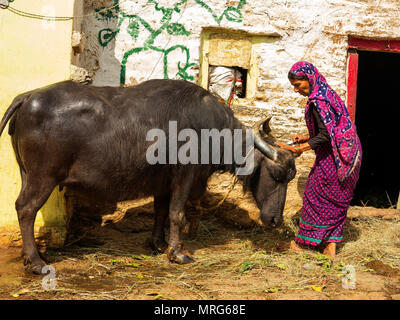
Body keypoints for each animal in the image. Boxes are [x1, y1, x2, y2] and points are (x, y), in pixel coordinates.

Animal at [0, 79, 294, 272]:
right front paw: (178, 253)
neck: (211, 129)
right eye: (278, 174)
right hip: (43, 177)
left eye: (290, 176)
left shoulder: (163, 183)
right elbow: (177, 213)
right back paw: (36, 261)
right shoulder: (185, 176)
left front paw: (158, 243)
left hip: (27, 173)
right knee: (26, 209)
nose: (275, 220)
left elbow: (161, 212)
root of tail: (28, 97)